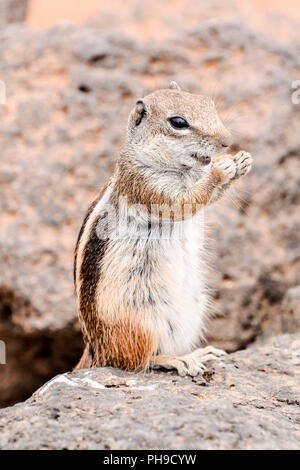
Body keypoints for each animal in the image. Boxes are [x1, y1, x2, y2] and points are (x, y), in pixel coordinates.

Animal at [74, 82, 252, 376]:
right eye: (178, 122)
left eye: (209, 103)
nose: (226, 141)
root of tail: (95, 350)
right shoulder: (148, 187)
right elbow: (186, 201)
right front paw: (220, 170)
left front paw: (242, 161)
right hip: (140, 325)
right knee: (134, 361)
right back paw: (178, 360)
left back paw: (199, 352)